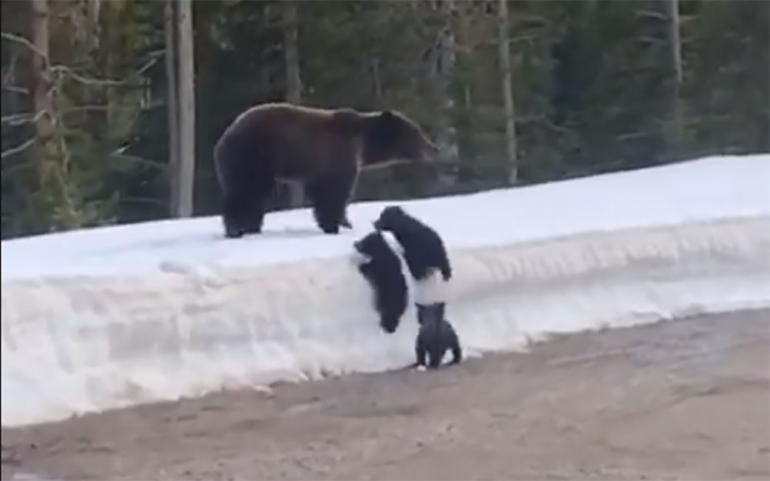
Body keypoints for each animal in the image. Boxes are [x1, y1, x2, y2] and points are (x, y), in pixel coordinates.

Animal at [213, 102, 438, 237]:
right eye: (417, 133)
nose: (434, 148)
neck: (363, 145)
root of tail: (224, 137)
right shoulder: (338, 157)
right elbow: (335, 193)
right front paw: (336, 225)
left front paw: (344, 223)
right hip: (255, 155)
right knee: (248, 191)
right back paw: (238, 228)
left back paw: (251, 226)